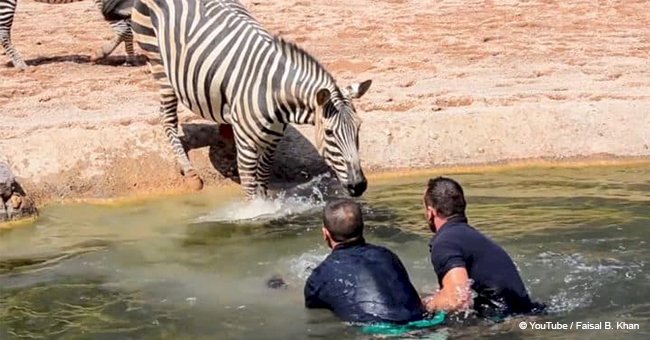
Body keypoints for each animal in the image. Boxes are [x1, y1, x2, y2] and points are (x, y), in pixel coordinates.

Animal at [1, 0, 135, 69]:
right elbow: (125, 28)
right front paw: (99, 54)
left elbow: (129, 27)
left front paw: (131, 59)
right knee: (3, 32)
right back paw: (20, 65)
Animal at [132, 0, 372, 199]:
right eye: (330, 133)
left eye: (359, 128)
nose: (359, 186)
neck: (275, 93)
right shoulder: (247, 144)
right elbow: (250, 187)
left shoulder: (272, 140)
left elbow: (263, 179)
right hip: (158, 62)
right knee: (167, 118)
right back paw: (190, 173)